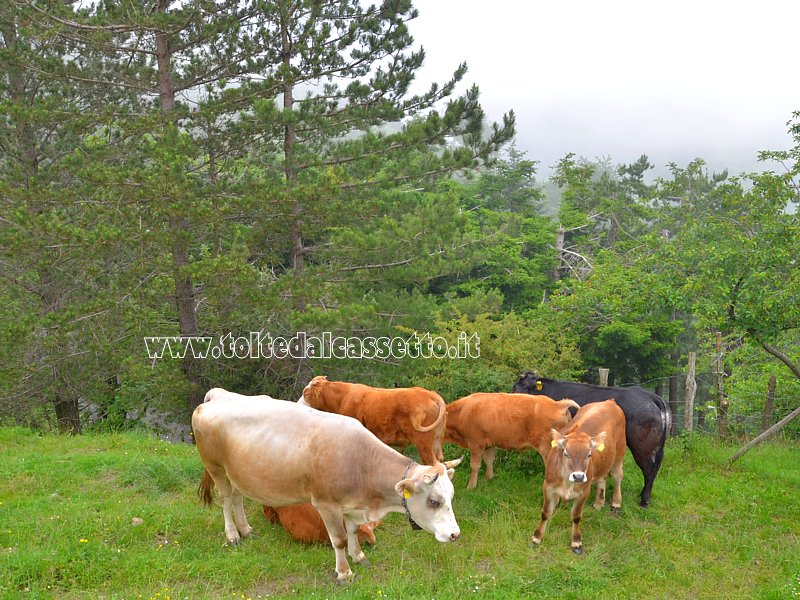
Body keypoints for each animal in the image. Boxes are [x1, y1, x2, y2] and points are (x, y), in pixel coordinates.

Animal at [193, 390, 462, 580]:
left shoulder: (353, 505)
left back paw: (246, 529)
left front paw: (359, 556)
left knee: (237, 498)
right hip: (216, 467)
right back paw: (232, 534)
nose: (455, 534)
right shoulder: (326, 504)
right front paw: (344, 573)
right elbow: (339, 539)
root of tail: (219, 395)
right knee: (226, 499)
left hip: (237, 473)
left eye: (450, 498)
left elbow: (353, 530)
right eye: (434, 501)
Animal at [446, 392, 580, 490]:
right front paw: (489, 479)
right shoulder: (489, 443)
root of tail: (558, 404)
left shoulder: (475, 444)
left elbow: (475, 465)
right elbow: (489, 460)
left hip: (547, 449)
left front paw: (471, 486)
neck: (462, 412)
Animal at [512, 370, 668, 506]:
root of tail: (649, 395)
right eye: (515, 387)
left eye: (524, 387)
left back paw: (644, 500)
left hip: (642, 448)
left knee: (649, 470)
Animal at [536, 398, 628, 552]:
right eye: (566, 453)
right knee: (602, 479)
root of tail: (610, 401)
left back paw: (615, 503)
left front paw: (576, 542)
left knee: (617, 476)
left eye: (589, 454)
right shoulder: (548, 486)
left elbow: (576, 516)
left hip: (620, 451)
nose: (578, 476)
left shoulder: (584, 491)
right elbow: (545, 512)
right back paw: (599, 503)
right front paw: (537, 538)